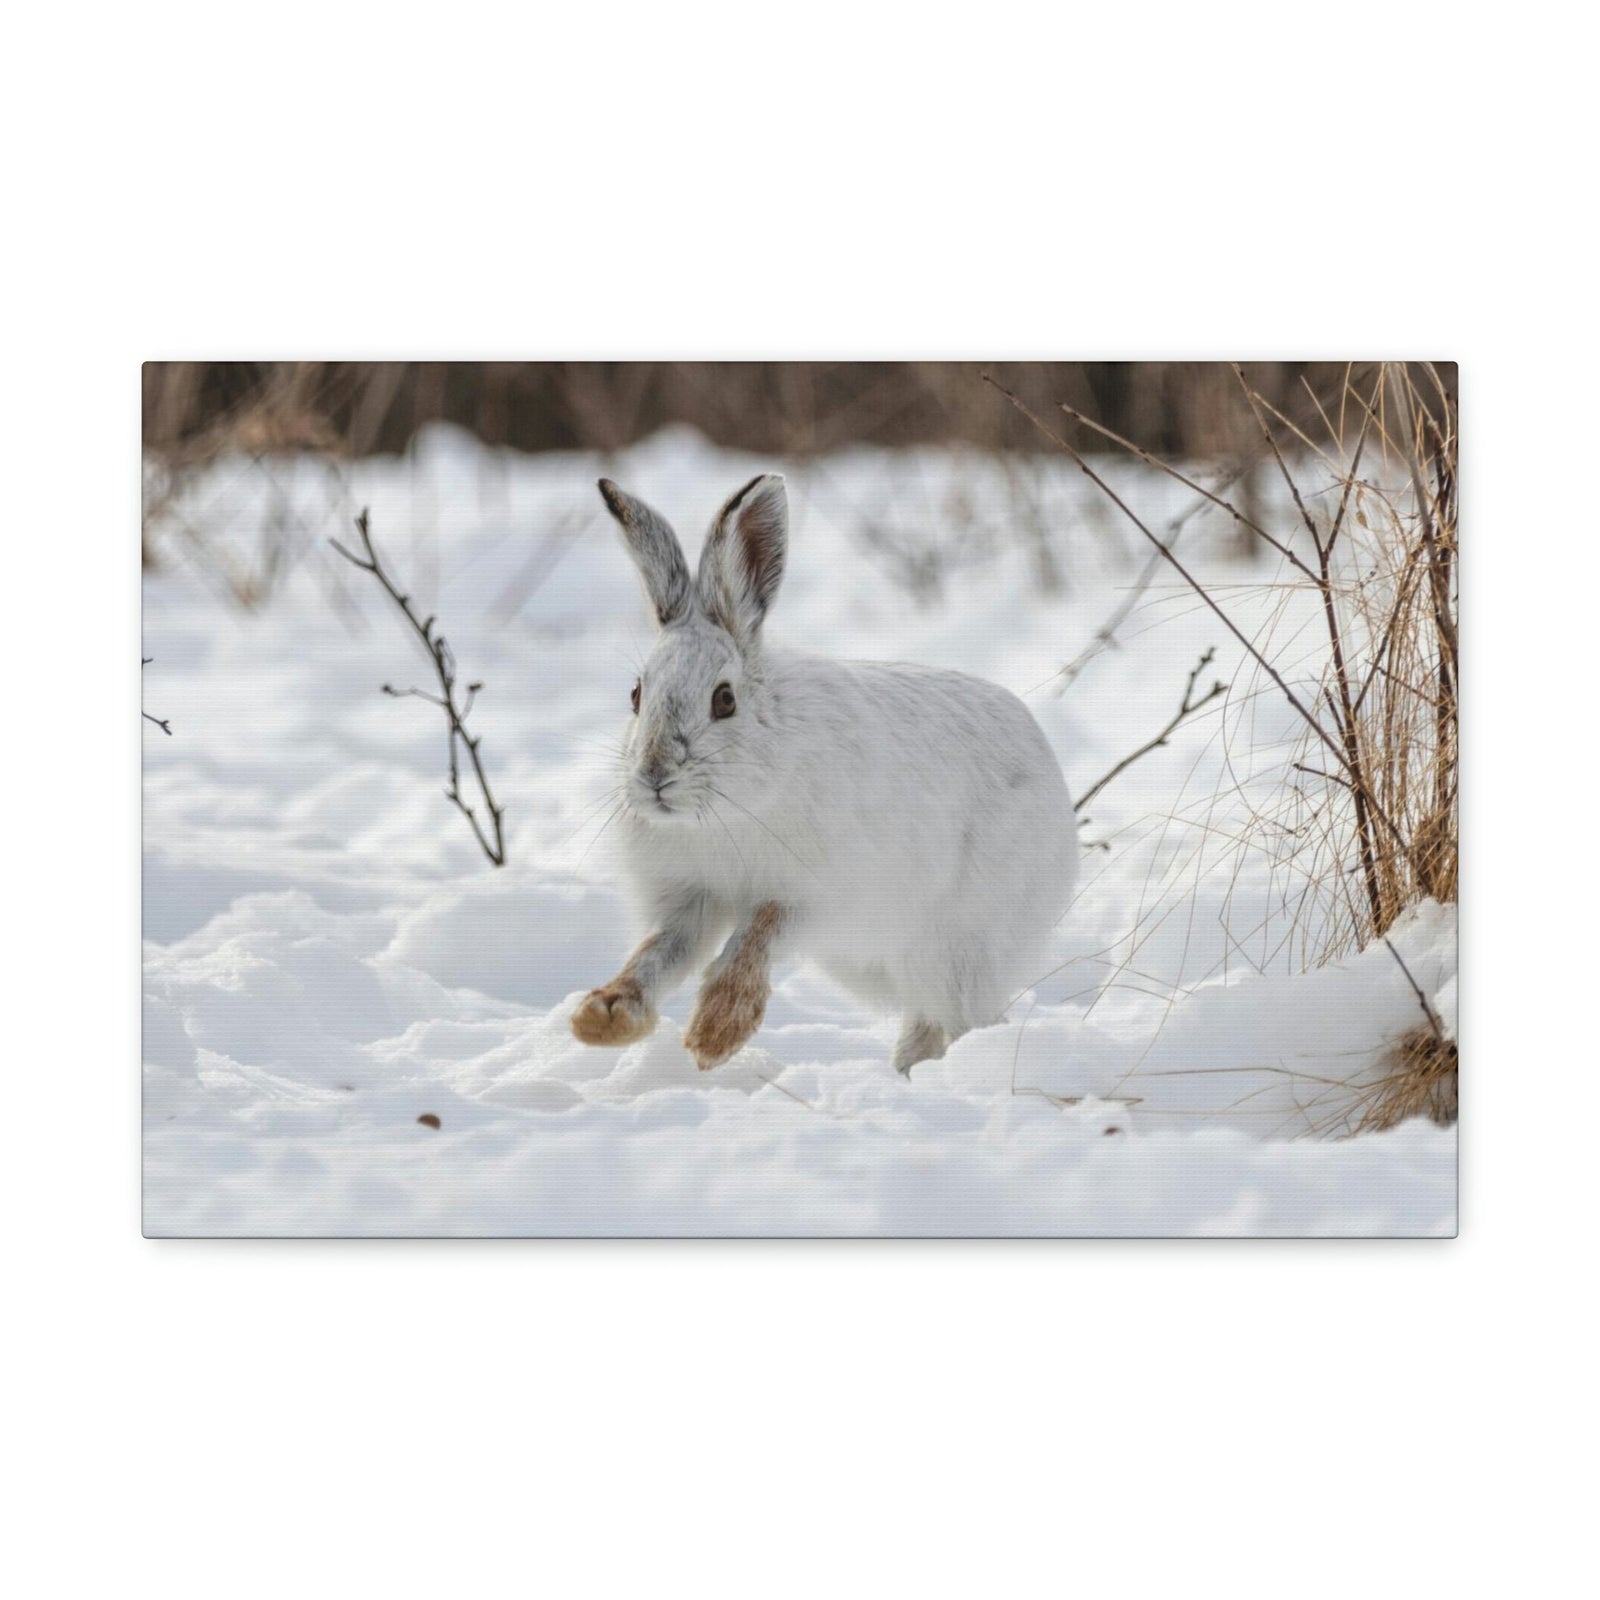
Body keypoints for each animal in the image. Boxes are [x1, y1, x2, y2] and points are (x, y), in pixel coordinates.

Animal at [569, 472, 1079, 1076]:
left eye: (724, 701)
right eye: (635, 695)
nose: (654, 775)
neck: (723, 810)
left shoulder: (817, 895)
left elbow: (757, 934)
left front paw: (716, 1032)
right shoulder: (688, 900)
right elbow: (657, 954)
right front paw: (602, 1017)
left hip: (956, 947)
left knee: (963, 1018)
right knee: (928, 1023)